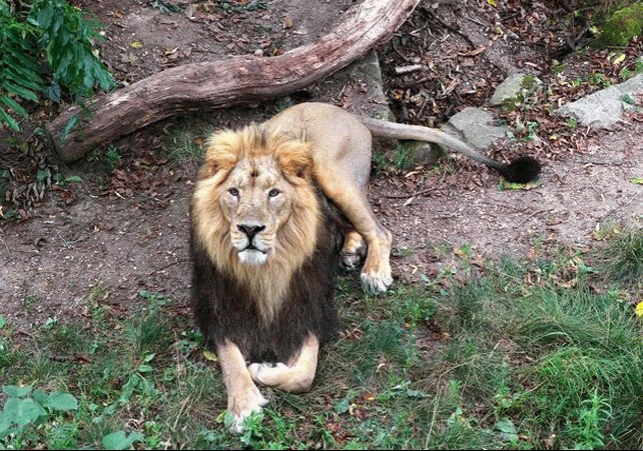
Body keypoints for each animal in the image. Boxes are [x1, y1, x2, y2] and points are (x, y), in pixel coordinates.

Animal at [190, 100, 540, 432]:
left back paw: (373, 272)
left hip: (332, 172)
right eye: (233, 192)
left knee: (379, 230)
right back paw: (350, 251)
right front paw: (243, 406)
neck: (267, 267)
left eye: (274, 193)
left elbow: (304, 373)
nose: (250, 229)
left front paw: (263, 370)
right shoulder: (218, 310)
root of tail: (343, 110)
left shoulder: (313, 308)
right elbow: (232, 362)